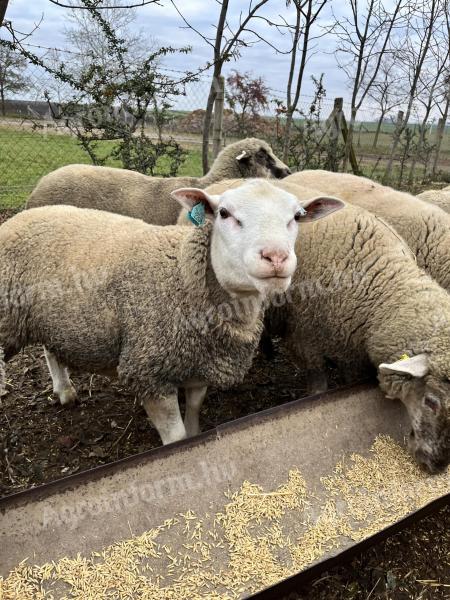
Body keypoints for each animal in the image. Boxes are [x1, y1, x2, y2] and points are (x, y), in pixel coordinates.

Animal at [0, 178, 344, 446]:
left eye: (297, 216)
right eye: (224, 213)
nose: (275, 257)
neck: (182, 273)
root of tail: (25, 215)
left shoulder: (200, 363)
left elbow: (193, 416)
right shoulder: (150, 372)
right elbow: (175, 437)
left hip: (54, 316)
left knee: (50, 349)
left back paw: (65, 391)